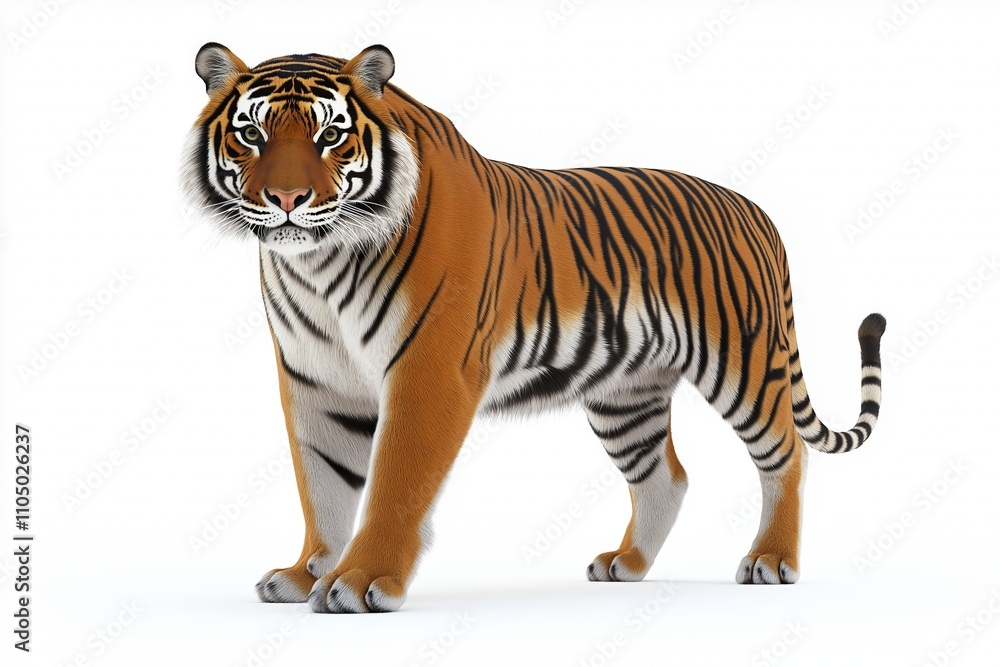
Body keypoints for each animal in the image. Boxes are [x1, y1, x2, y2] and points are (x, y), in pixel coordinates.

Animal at [182, 43, 885, 614]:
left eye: (330, 136)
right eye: (251, 135)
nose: (286, 200)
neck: (319, 264)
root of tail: (755, 209)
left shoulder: (428, 371)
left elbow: (394, 484)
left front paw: (359, 582)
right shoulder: (316, 381)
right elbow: (322, 485)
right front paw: (305, 574)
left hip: (742, 360)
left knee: (786, 452)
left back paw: (772, 561)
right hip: (625, 394)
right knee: (666, 477)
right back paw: (625, 566)